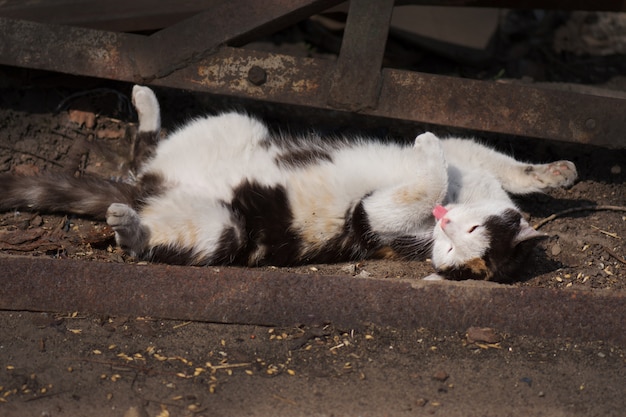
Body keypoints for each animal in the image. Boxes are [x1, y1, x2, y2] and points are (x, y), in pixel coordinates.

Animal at [0, 85, 576, 282]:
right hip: (237, 123)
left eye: (456, 256)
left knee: (147, 236)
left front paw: (425, 152)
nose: (444, 225)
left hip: (224, 230)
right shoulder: (469, 160)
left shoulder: (370, 220)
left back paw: (127, 226)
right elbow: (496, 163)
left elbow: (424, 182)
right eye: (466, 233)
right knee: (141, 153)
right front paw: (556, 172)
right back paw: (145, 102)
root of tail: (145, 192)